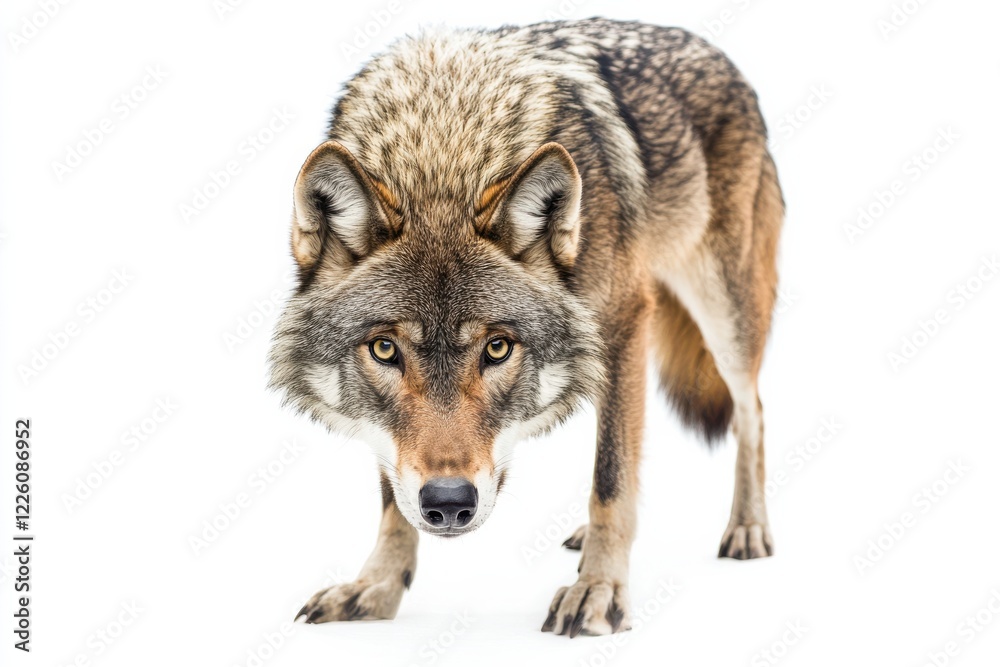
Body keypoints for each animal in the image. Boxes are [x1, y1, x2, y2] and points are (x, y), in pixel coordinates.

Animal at [268, 17, 784, 637]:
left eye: (497, 348)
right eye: (385, 350)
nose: (448, 502)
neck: (444, 151)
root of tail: (714, 51)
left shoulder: (623, 321)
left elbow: (611, 476)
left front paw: (599, 590)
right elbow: (394, 497)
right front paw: (378, 587)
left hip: (722, 316)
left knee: (751, 409)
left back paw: (747, 527)